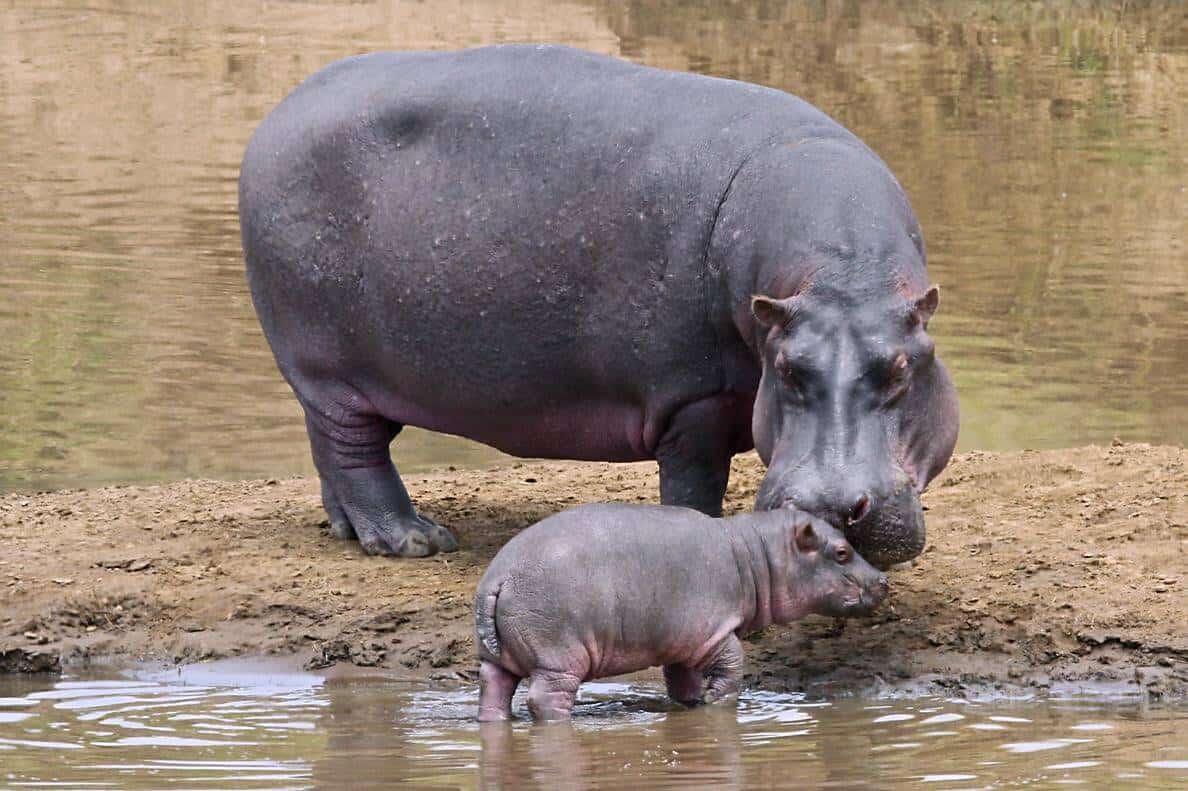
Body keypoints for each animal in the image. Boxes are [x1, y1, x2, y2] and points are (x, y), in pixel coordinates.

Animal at [239, 44, 959, 566]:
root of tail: (276, 114)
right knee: (354, 452)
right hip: (327, 371)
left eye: (902, 367)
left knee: (332, 450)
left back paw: (348, 528)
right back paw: (413, 539)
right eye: (786, 370)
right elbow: (692, 488)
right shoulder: (690, 400)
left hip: (353, 379)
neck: (841, 275)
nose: (830, 509)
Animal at [474, 503, 887, 720]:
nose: (883, 580)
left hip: (498, 658)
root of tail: (498, 577)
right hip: (558, 659)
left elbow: (681, 680)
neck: (757, 555)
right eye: (841, 552)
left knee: (493, 689)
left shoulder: (683, 641)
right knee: (545, 698)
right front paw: (717, 701)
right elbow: (733, 666)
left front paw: (693, 704)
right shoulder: (714, 630)